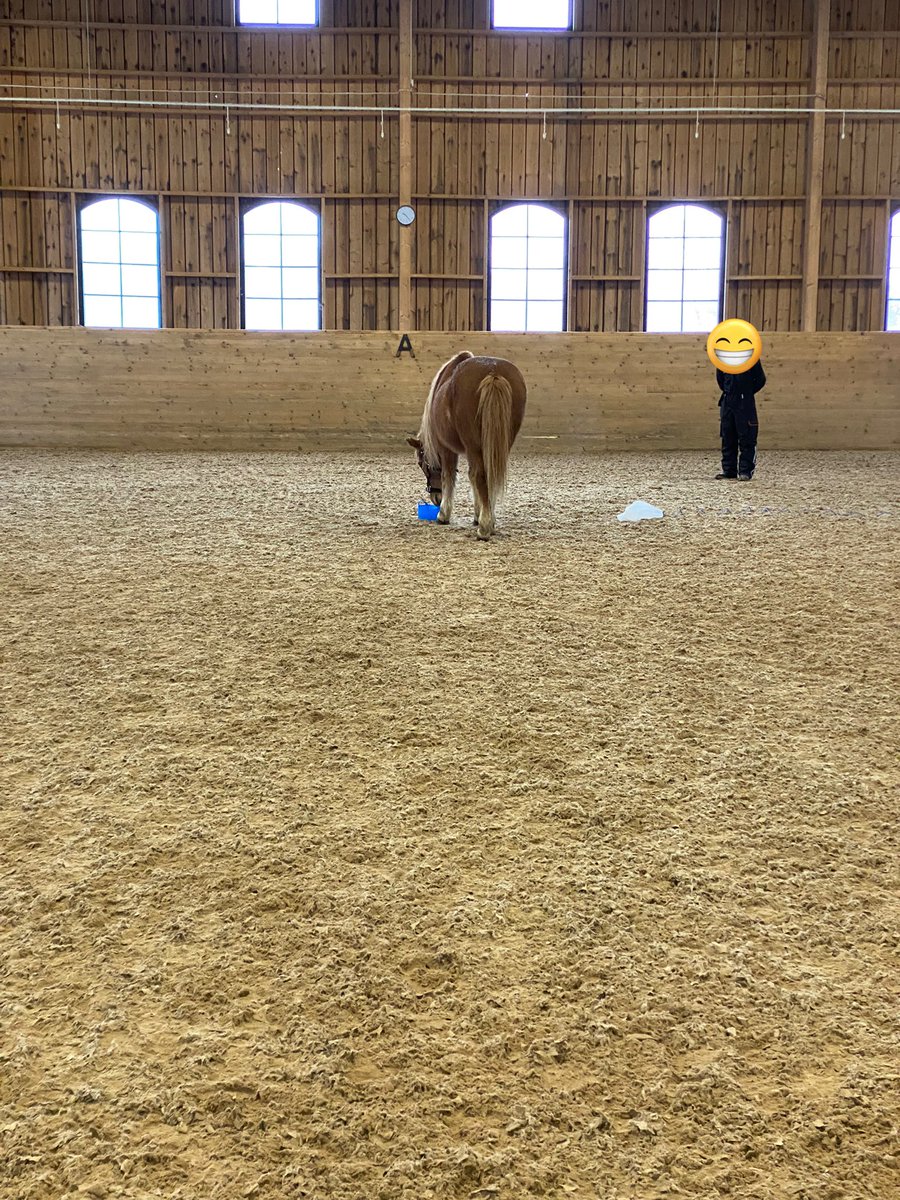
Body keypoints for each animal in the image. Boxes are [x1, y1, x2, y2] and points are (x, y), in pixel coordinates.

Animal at [407, 352, 527, 540]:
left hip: (474, 446)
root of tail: (493, 372)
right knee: (491, 475)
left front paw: (443, 515)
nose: (436, 498)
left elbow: (448, 476)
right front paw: (478, 515)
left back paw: (484, 528)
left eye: (421, 464)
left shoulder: (446, 449)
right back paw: (489, 520)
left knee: (480, 476)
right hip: (499, 445)